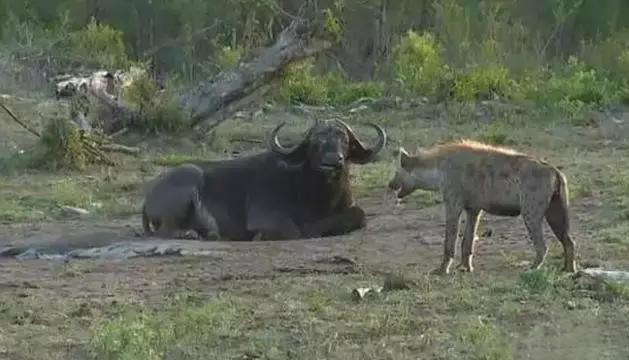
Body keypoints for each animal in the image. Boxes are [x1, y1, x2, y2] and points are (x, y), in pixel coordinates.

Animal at [199, 119, 386, 242]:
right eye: (315, 143)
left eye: (345, 141)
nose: (332, 161)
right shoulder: (263, 216)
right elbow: (294, 230)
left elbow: (360, 215)